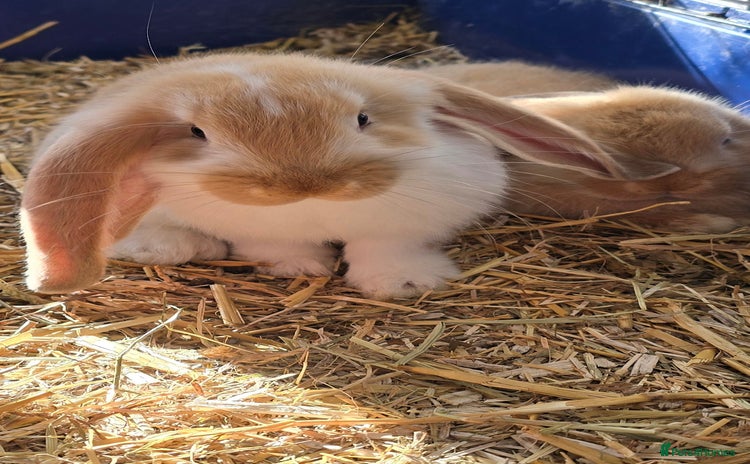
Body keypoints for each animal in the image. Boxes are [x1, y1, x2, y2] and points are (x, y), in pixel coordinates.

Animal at [20, 52, 627, 298]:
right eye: (197, 133)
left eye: (363, 119)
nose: (303, 183)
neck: (312, 213)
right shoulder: (258, 230)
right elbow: (273, 245)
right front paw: (298, 268)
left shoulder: (407, 222)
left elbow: (387, 248)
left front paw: (404, 284)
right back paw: (168, 247)